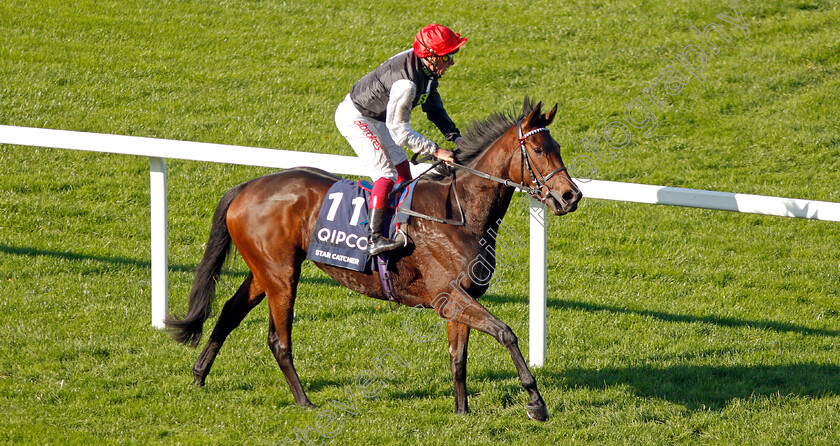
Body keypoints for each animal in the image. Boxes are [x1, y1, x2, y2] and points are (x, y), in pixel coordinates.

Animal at [167, 98, 580, 422]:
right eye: (539, 150)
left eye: (557, 146)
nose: (570, 196)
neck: (460, 212)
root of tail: (247, 186)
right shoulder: (448, 295)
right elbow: (505, 332)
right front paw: (536, 403)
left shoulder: (459, 299)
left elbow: (458, 357)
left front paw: (463, 412)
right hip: (282, 275)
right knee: (278, 340)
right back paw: (305, 401)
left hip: (264, 270)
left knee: (229, 312)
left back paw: (199, 374)